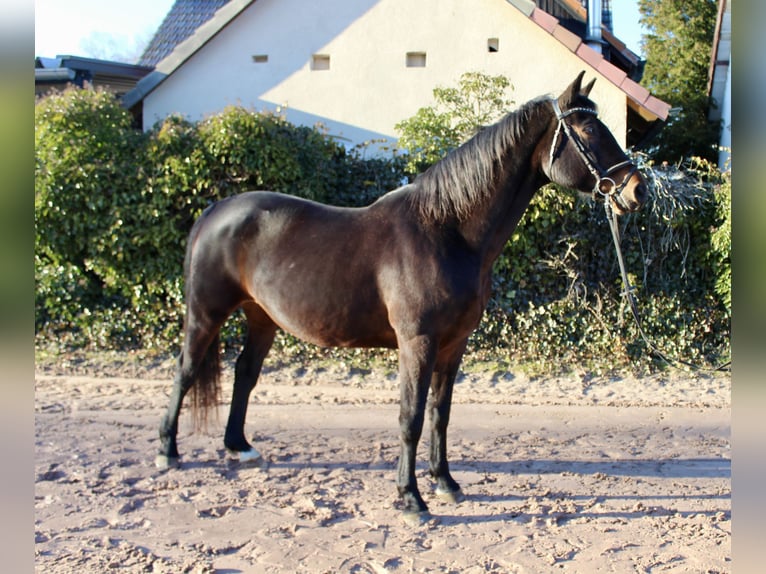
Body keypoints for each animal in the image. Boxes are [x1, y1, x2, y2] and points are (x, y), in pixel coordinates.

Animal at [156, 72, 648, 523]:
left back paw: (238, 446)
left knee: (244, 374)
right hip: (206, 313)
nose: (636, 189)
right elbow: (409, 417)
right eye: (589, 131)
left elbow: (439, 414)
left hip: (261, 317)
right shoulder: (418, 342)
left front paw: (445, 482)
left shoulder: (453, 344)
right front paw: (410, 498)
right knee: (185, 371)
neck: (446, 229)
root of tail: (216, 211)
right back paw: (168, 451)